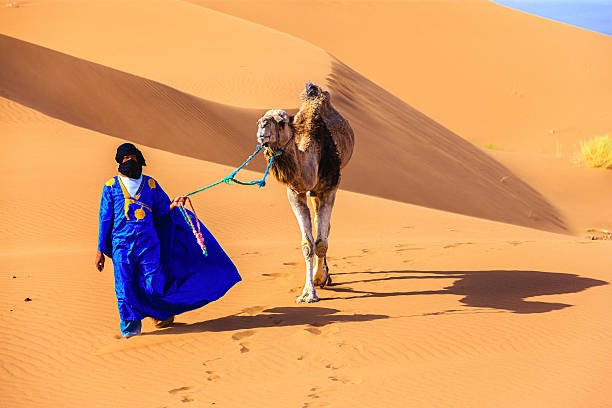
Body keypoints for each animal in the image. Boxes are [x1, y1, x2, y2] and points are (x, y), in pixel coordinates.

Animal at [256, 81, 356, 302]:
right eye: (262, 119)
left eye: (282, 122)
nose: (261, 126)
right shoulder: (296, 192)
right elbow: (308, 244)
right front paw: (308, 291)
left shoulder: (330, 188)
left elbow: (321, 242)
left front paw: (318, 281)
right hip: (313, 193)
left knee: (324, 229)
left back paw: (326, 275)